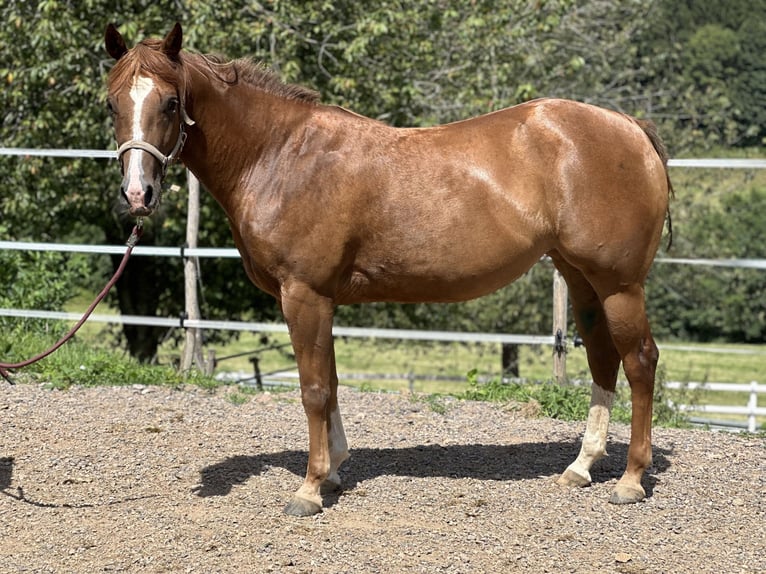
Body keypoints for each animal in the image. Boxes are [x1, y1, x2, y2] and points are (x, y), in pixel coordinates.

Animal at [104, 23, 673, 517]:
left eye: (171, 103)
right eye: (113, 103)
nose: (137, 195)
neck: (280, 155)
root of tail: (630, 127)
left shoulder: (304, 294)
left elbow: (313, 389)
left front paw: (310, 489)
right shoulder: (323, 300)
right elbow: (331, 383)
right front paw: (334, 471)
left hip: (619, 285)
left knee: (639, 361)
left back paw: (630, 480)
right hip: (581, 279)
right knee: (602, 359)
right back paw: (582, 467)